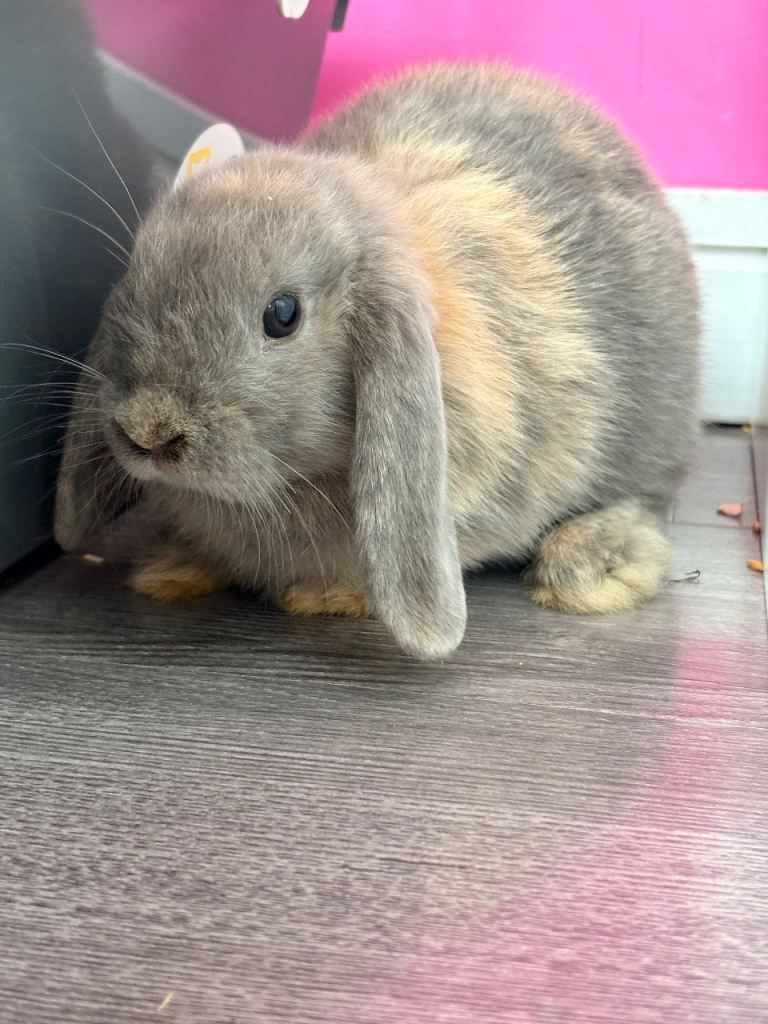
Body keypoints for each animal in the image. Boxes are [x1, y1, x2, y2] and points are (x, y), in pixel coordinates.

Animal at [55, 63, 700, 660]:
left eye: (283, 314)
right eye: (136, 278)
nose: (150, 431)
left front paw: (326, 596)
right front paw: (169, 570)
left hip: (652, 439)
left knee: (649, 506)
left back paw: (590, 569)